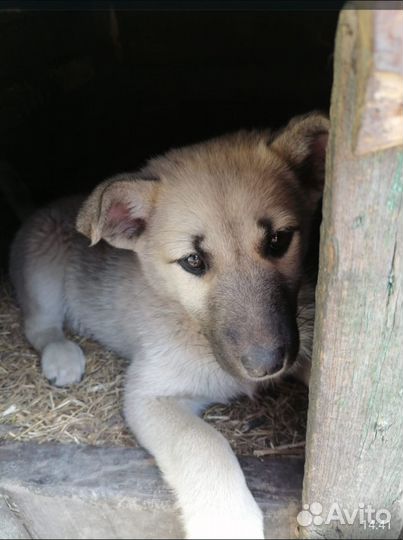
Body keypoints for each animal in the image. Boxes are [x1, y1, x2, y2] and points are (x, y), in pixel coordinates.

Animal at [9, 112, 330, 536]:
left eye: (278, 240)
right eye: (193, 261)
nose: (267, 366)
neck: (189, 324)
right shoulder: (150, 395)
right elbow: (205, 444)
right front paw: (226, 521)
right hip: (42, 263)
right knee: (40, 324)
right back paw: (62, 357)